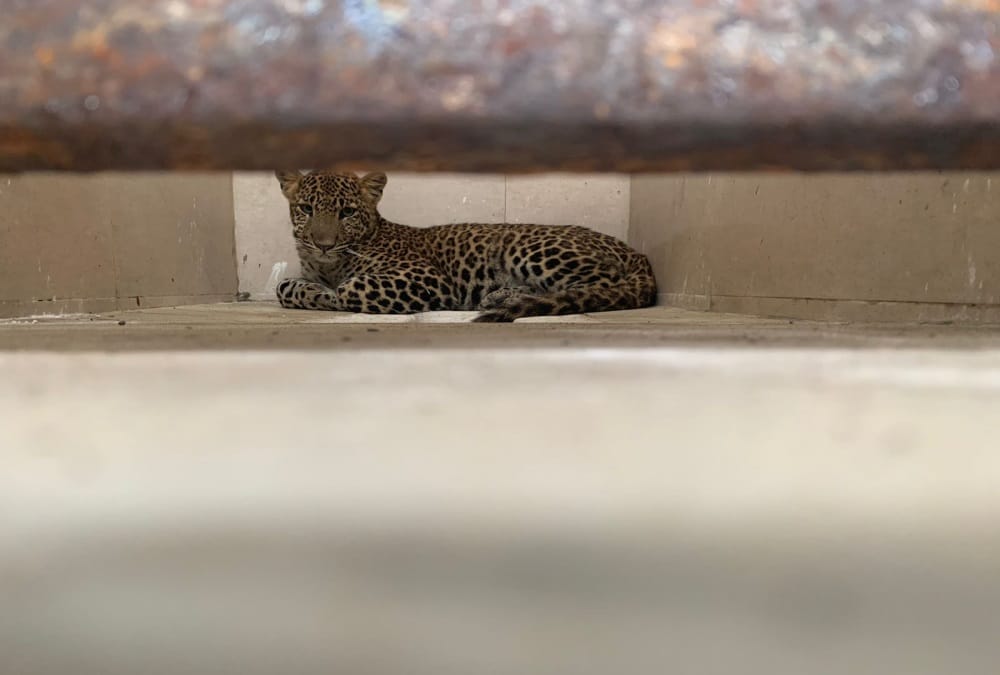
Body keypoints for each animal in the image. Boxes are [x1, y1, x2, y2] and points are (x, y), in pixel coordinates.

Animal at [273, 170, 657, 322]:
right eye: (306, 209)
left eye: (348, 212)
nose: (323, 244)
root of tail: (634, 251)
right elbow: (284, 287)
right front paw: (309, 291)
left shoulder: (427, 278)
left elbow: (350, 290)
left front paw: (330, 294)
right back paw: (498, 296)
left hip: (524, 245)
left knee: (598, 285)